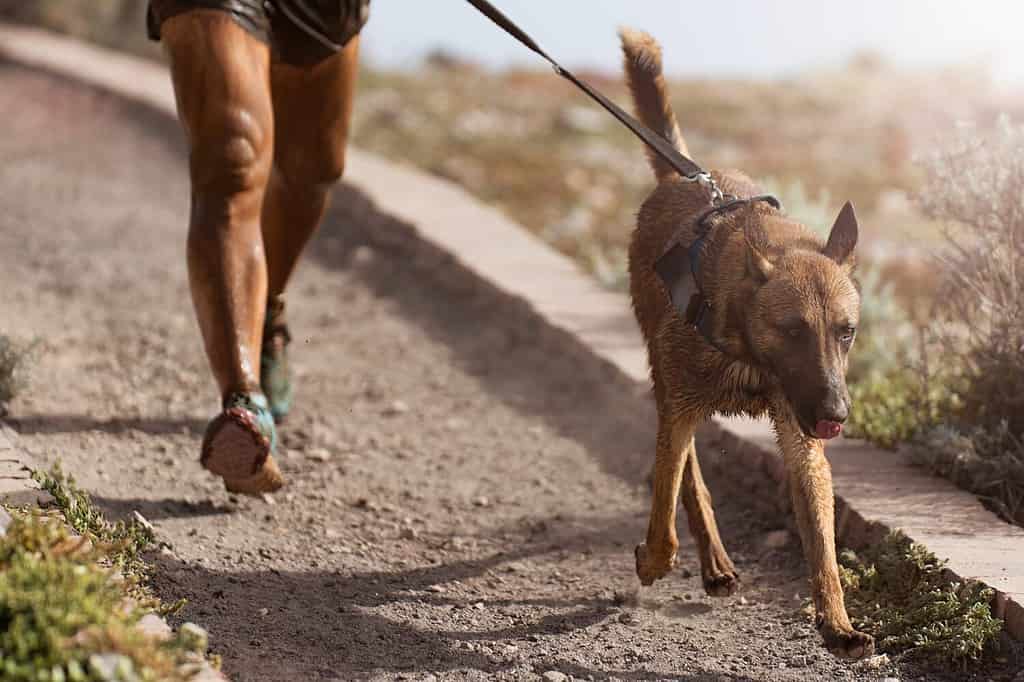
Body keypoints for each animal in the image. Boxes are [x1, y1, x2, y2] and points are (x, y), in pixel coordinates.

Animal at [614, 29, 872, 655]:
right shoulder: (680, 408)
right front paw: (653, 560)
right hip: (668, 387)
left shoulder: (803, 443)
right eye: (793, 331)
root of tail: (680, 177)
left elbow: (823, 550)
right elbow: (668, 508)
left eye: (846, 331)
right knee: (689, 479)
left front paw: (837, 623)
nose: (837, 414)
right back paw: (707, 559)